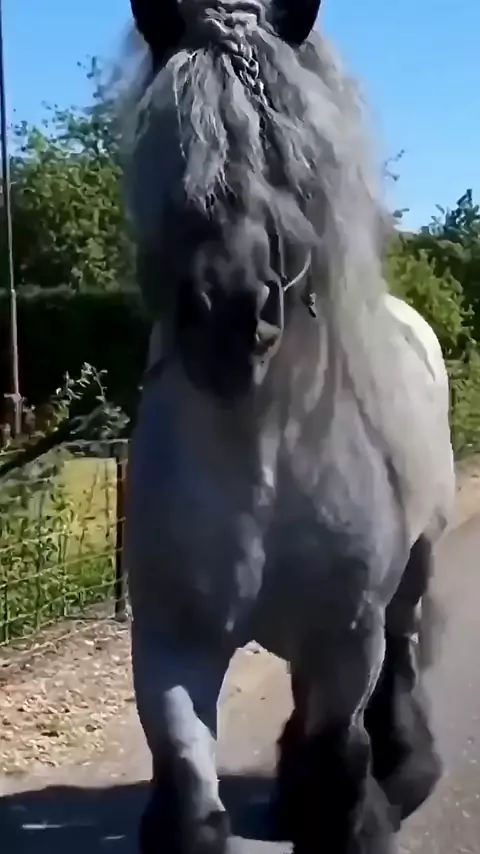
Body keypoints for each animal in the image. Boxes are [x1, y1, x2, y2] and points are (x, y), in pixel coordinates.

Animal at [118, 0, 456, 851]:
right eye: (169, 135)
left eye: (282, 139)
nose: (229, 315)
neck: (257, 448)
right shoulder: (172, 643)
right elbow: (191, 792)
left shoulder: (347, 635)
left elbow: (338, 764)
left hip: (411, 578)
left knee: (398, 666)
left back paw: (404, 770)